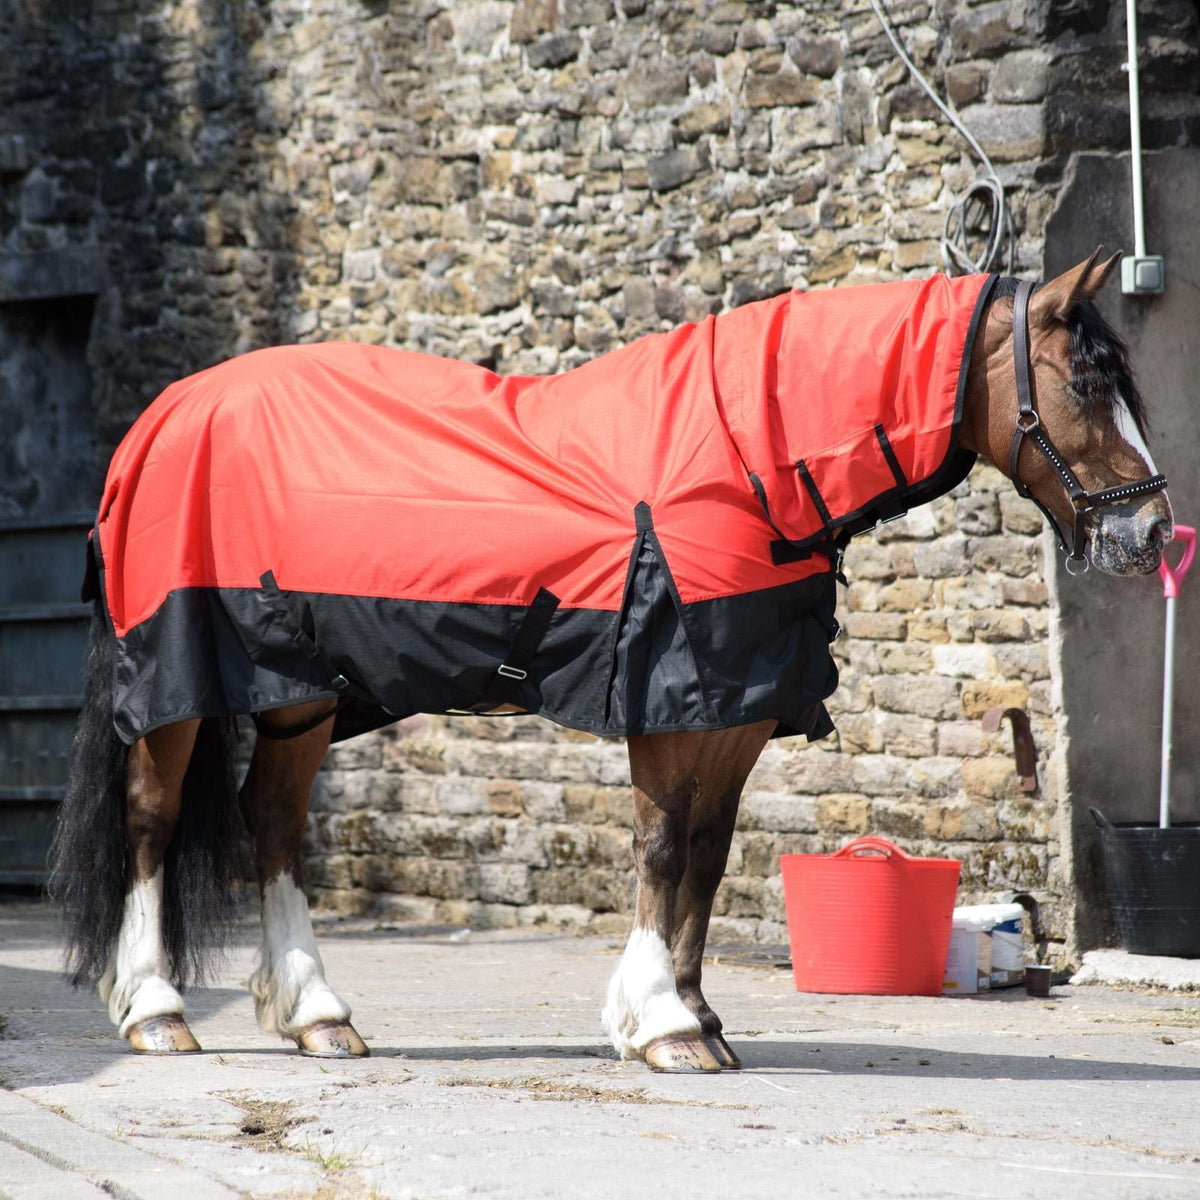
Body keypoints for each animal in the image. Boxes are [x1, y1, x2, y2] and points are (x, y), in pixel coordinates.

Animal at [49, 251, 1171, 1072]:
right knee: (152, 823)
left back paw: (318, 1015)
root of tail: (162, 417)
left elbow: (708, 858)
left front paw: (699, 1018)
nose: (1153, 533)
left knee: (273, 822)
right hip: (179, 685)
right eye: (1085, 381)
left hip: (300, 695)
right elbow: (664, 849)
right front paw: (663, 1026)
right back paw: (156, 1011)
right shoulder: (668, 699)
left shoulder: (736, 710)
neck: (747, 458)